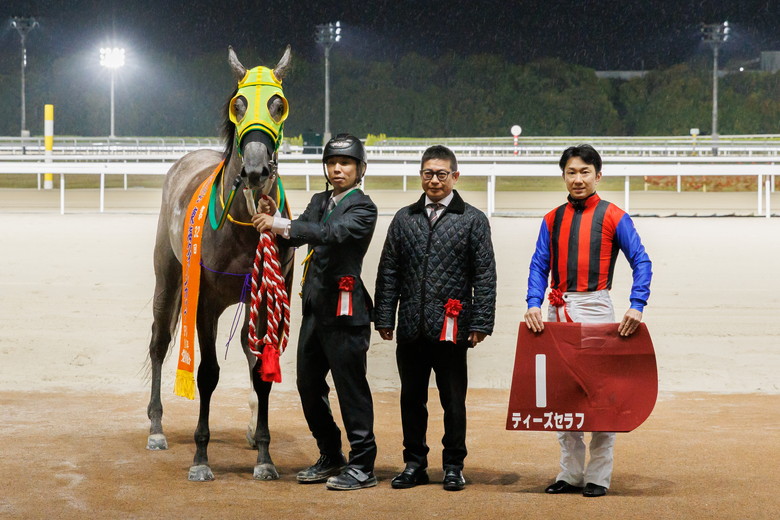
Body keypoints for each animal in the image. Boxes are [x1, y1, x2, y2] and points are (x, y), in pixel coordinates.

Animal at [145, 46, 294, 482]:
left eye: (278, 104)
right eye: (238, 104)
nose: (256, 170)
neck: (242, 225)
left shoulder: (266, 296)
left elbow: (262, 373)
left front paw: (264, 456)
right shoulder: (205, 302)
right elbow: (207, 374)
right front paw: (200, 458)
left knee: (249, 352)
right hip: (168, 277)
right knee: (158, 343)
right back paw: (156, 428)